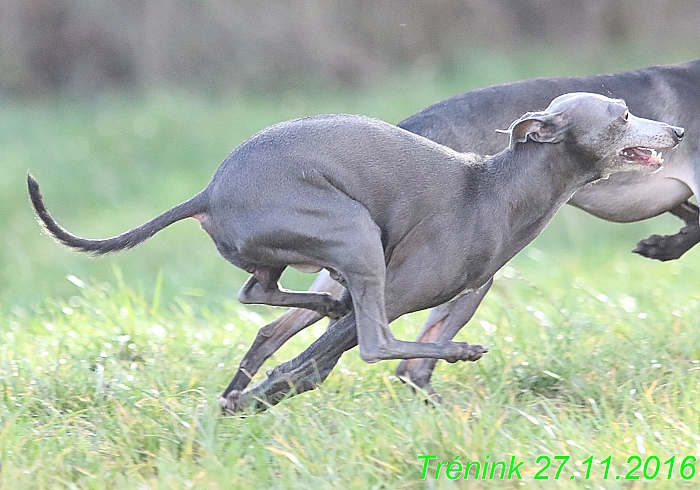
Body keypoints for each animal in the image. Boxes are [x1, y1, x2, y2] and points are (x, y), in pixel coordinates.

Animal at [27, 92, 684, 410]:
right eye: (624, 114)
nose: (677, 131)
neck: (498, 188)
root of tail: (209, 191)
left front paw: (243, 399)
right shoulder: (402, 292)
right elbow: (316, 364)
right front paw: (252, 400)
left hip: (304, 252)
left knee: (258, 291)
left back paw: (322, 310)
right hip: (353, 231)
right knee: (371, 342)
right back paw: (457, 349)